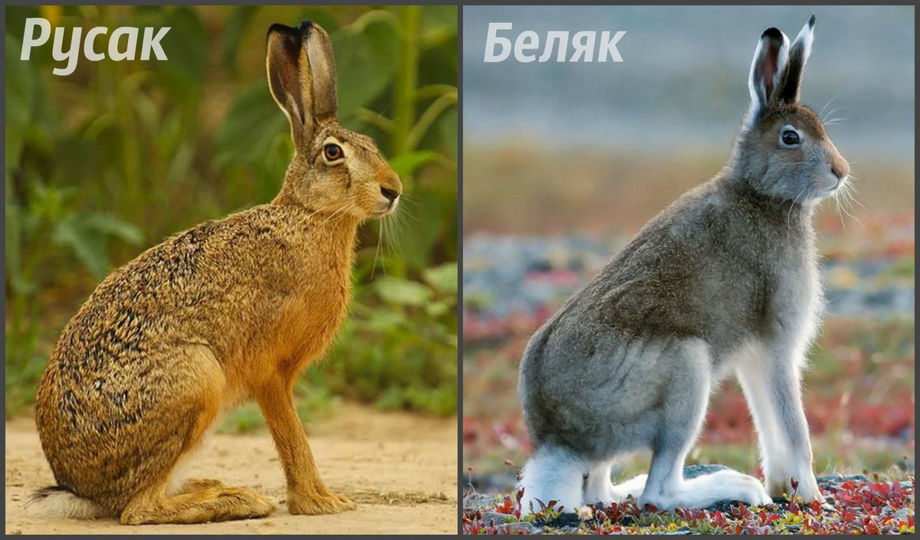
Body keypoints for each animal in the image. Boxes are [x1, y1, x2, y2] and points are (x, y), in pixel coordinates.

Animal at [27, 20, 402, 525]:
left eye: (373, 146)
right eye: (332, 153)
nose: (392, 190)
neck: (308, 216)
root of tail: (78, 486)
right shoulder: (270, 370)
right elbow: (293, 436)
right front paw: (321, 503)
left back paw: (218, 488)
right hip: (197, 378)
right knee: (137, 509)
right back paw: (237, 500)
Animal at [518, 15, 847, 514]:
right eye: (791, 137)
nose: (841, 172)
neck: (761, 195)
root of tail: (560, 440)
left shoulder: (756, 359)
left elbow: (770, 428)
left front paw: (785, 488)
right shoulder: (777, 346)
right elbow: (795, 431)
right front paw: (811, 497)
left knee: (602, 490)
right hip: (686, 370)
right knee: (659, 491)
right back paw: (736, 488)